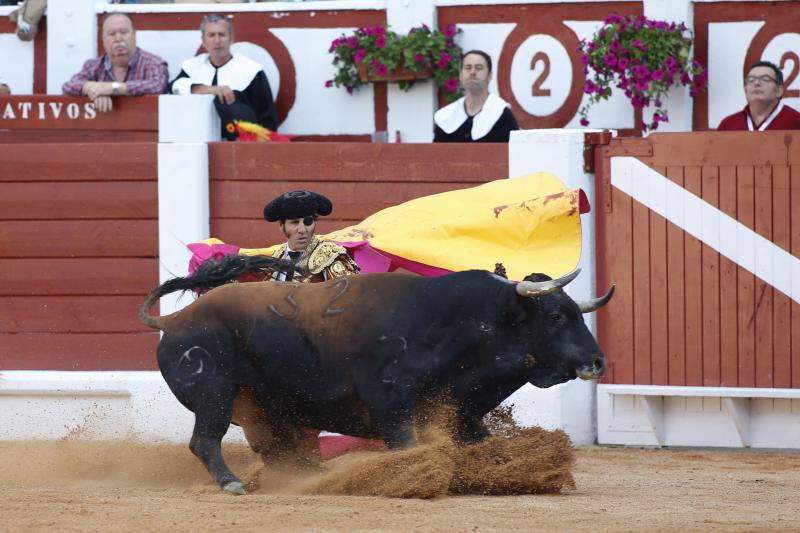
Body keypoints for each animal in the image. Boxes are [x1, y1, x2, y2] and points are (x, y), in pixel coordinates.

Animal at [139, 256, 612, 492]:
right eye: (555, 315)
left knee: (278, 449)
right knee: (205, 441)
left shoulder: (461, 410)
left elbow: (485, 446)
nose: (597, 362)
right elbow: (407, 446)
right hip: (214, 394)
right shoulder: (393, 403)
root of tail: (174, 321)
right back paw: (233, 483)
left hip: (266, 408)